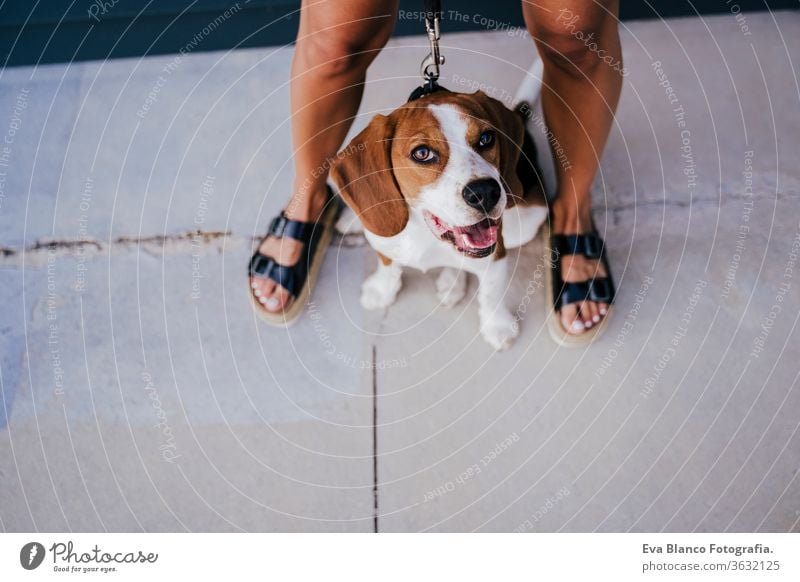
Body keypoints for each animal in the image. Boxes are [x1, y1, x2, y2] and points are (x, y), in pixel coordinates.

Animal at [332, 62, 552, 352]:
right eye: (422, 153)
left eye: (486, 138)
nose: (486, 192)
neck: (424, 235)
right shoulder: (385, 240)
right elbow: (387, 265)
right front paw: (382, 289)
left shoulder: (496, 253)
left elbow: (491, 293)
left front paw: (497, 325)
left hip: (524, 225)